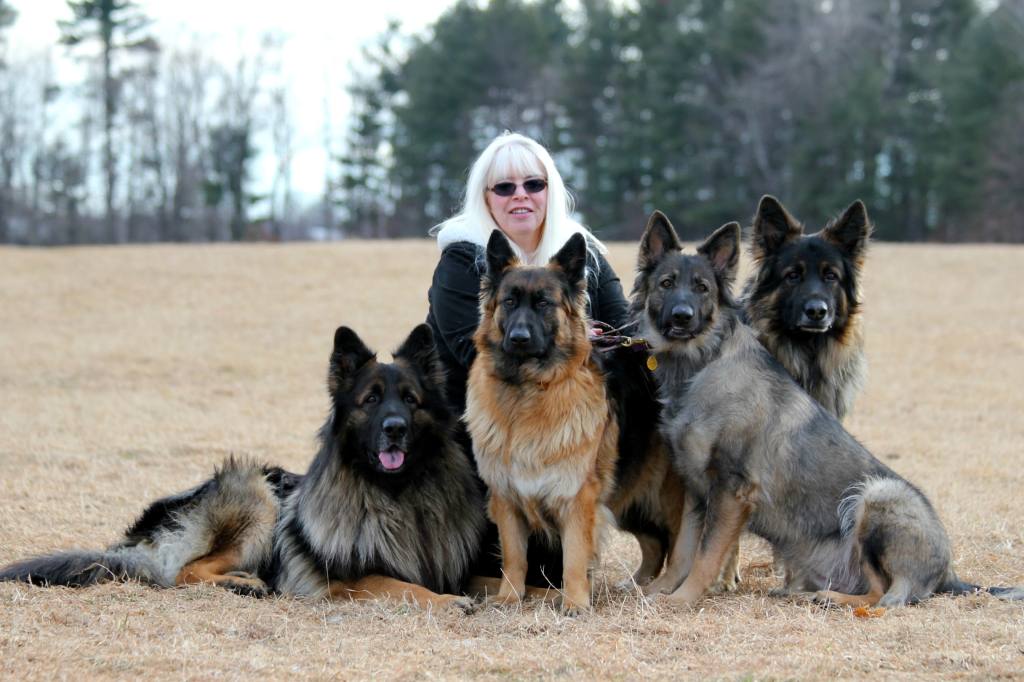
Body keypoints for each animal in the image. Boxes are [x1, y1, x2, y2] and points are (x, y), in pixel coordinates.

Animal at [0, 325, 486, 612]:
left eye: (410, 400)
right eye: (371, 399)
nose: (395, 429)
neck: (395, 494)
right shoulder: (341, 584)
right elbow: (395, 584)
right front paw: (445, 601)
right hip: (257, 496)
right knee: (184, 572)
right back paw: (243, 582)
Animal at [464, 229, 688, 614]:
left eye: (544, 304)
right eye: (509, 302)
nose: (518, 339)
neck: (529, 389)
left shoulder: (578, 499)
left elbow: (573, 556)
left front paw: (574, 603)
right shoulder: (507, 497)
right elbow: (514, 555)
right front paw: (510, 597)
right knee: (655, 543)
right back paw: (637, 585)